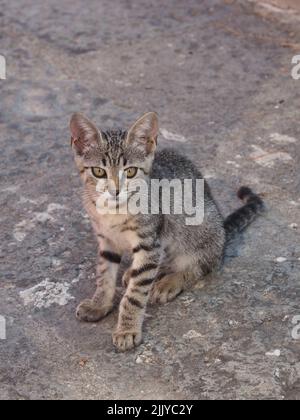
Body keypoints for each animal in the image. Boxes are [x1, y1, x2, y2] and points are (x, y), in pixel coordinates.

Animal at [69, 111, 264, 352]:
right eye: (98, 171)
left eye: (130, 171)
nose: (115, 191)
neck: (113, 212)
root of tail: (222, 229)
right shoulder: (107, 241)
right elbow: (104, 276)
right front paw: (99, 304)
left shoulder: (148, 242)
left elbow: (134, 295)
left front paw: (127, 329)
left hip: (200, 232)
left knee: (202, 265)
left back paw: (171, 281)